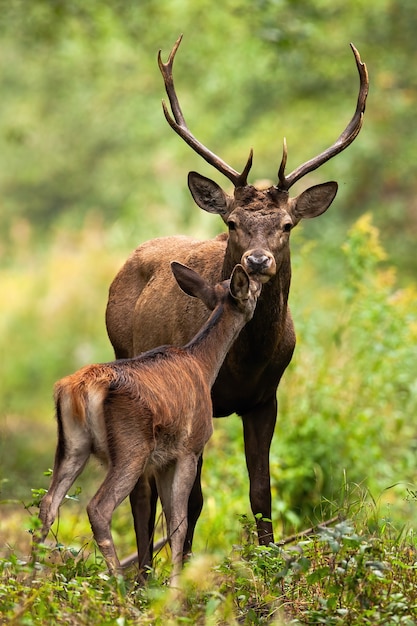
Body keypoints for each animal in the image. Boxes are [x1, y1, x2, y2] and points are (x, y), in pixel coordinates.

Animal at [35, 260, 260, 580]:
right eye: (251, 287)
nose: (261, 280)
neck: (203, 365)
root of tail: (79, 389)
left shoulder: (164, 460)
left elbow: (171, 517)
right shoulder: (189, 448)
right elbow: (178, 521)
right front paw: (177, 585)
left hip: (72, 444)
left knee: (48, 504)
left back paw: (30, 576)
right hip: (132, 447)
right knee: (98, 508)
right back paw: (118, 582)